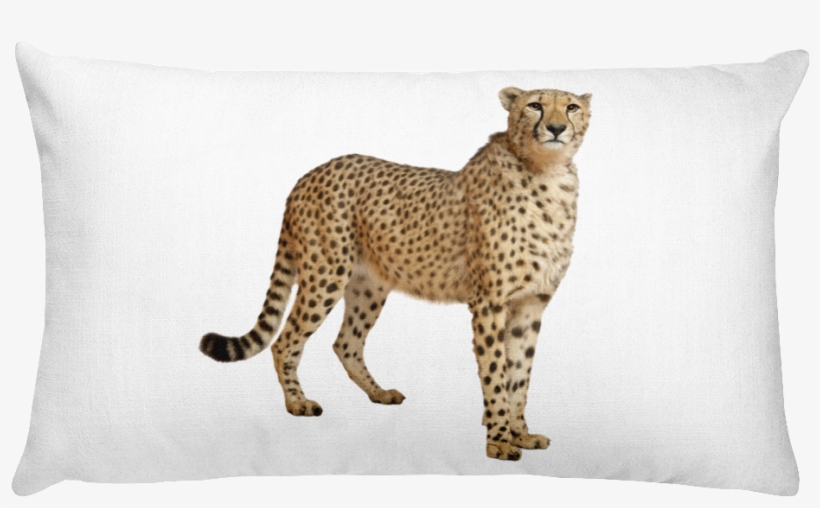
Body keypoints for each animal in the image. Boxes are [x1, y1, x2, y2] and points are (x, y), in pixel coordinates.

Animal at [200, 87, 592, 461]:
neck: (546, 173)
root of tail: (311, 173)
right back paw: (297, 402)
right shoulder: (490, 303)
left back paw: (379, 393)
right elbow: (496, 373)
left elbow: (519, 375)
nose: (557, 128)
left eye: (571, 107)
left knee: (346, 343)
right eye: (535, 105)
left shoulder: (530, 304)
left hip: (368, 285)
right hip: (325, 273)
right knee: (286, 340)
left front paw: (521, 433)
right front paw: (497, 441)